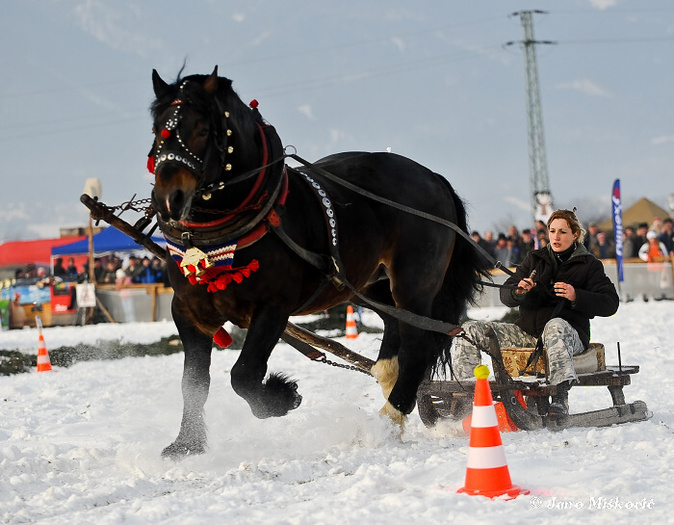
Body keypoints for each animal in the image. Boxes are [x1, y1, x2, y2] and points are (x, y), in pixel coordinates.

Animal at [148, 66, 484, 458]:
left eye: (202, 129)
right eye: (157, 128)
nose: (168, 199)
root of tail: (432, 177)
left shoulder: (272, 308)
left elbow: (244, 374)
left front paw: (281, 396)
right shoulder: (189, 311)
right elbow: (193, 382)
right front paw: (186, 444)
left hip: (414, 282)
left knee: (418, 345)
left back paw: (388, 419)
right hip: (367, 284)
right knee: (395, 328)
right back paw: (390, 389)